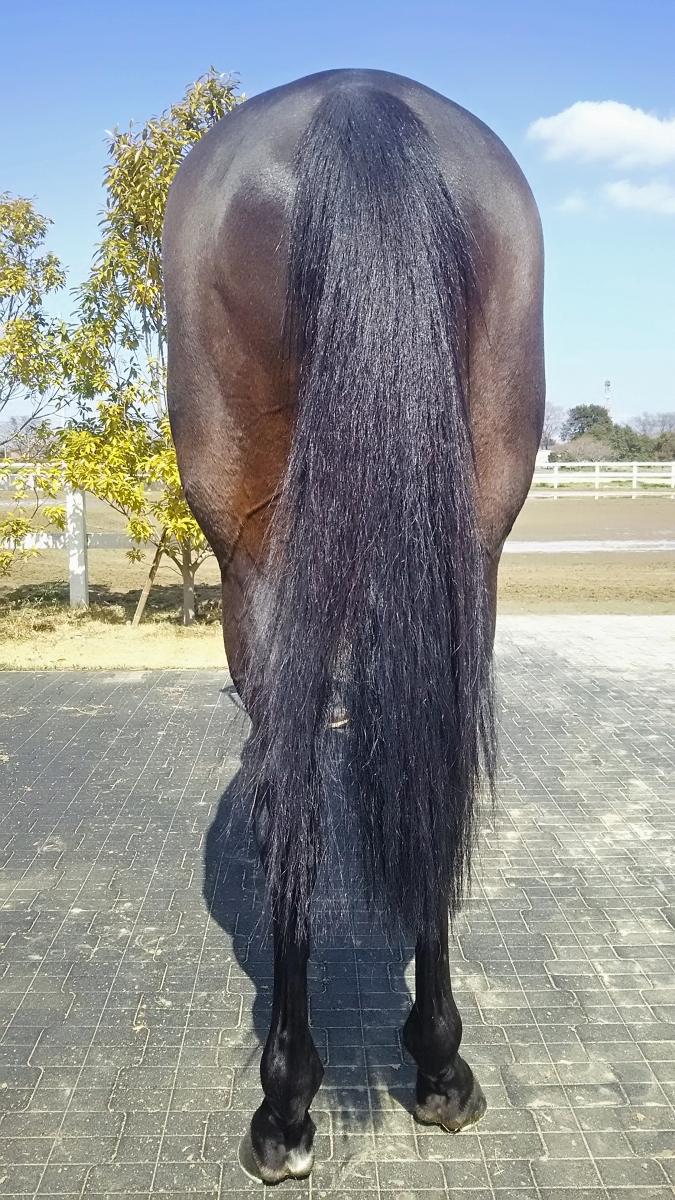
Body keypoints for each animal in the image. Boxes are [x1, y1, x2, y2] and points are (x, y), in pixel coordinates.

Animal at [163, 68, 544, 1183]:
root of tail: (359, 98)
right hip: (473, 536)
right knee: (437, 767)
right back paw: (440, 1067)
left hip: (254, 556)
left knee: (287, 794)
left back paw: (285, 1105)